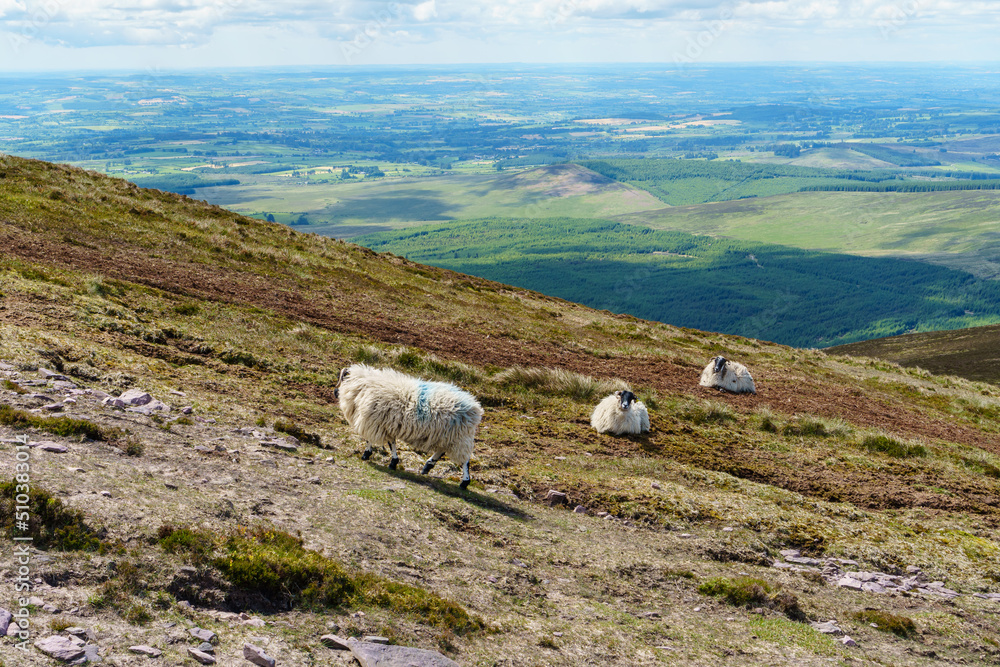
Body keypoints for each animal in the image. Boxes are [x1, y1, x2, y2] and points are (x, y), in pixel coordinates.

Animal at [334, 364, 484, 489]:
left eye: (341, 377)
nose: (335, 392)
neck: (362, 385)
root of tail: (475, 407)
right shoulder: (386, 424)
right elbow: (391, 443)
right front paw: (393, 462)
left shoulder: (374, 422)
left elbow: (371, 439)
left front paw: (367, 455)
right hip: (449, 436)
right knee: (442, 450)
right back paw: (427, 466)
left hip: (460, 436)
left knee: (465, 460)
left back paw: (464, 482)